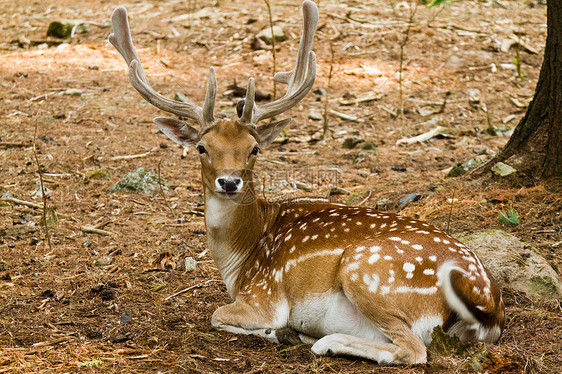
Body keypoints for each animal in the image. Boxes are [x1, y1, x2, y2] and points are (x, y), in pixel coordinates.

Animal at [109, 2, 504, 366]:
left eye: (254, 148)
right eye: (202, 148)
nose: (229, 181)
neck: (240, 258)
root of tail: (488, 304)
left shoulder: (264, 295)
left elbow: (218, 314)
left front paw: (278, 332)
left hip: (365, 270)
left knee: (414, 350)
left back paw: (323, 340)